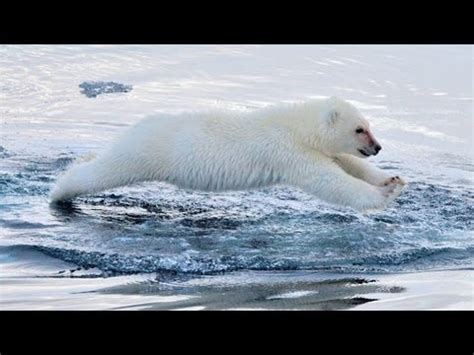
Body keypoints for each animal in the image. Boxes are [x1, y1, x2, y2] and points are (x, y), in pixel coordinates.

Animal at [51, 97, 408, 211]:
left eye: (368, 125)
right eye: (360, 129)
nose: (378, 147)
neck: (293, 125)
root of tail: (138, 127)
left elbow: (345, 163)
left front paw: (392, 179)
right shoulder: (285, 150)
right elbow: (328, 179)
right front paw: (382, 195)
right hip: (146, 152)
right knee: (104, 171)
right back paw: (60, 189)